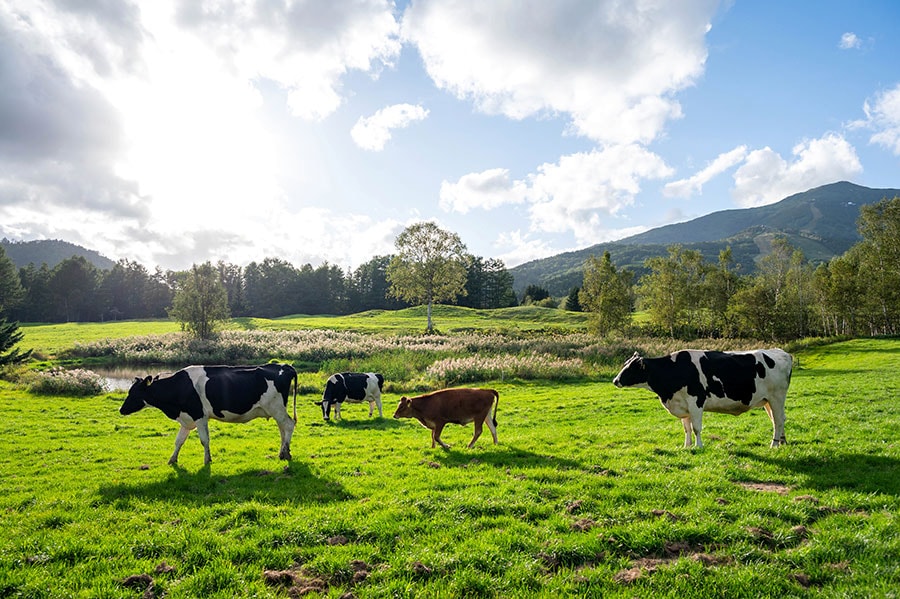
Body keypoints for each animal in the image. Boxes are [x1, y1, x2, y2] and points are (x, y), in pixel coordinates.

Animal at [117, 364, 296, 466]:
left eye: (134, 393)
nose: (121, 410)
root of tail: (283, 366)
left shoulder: (199, 416)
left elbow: (204, 440)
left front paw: (206, 461)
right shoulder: (187, 420)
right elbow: (178, 441)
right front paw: (172, 460)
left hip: (276, 408)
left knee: (289, 425)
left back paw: (286, 453)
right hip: (277, 410)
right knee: (282, 429)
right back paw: (282, 452)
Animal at [612, 350, 796, 448]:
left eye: (631, 368)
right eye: (625, 364)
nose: (615, 380)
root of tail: (783, 353)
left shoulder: (696, 402)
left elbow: (696, 428)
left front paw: (698, 446)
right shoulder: (682, 405)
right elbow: (686, 428)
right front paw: (686, 447)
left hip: (777, 397)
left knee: (778, 420)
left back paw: (774, 444)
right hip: (767, 401)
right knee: (777, 420)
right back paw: (782, 442)